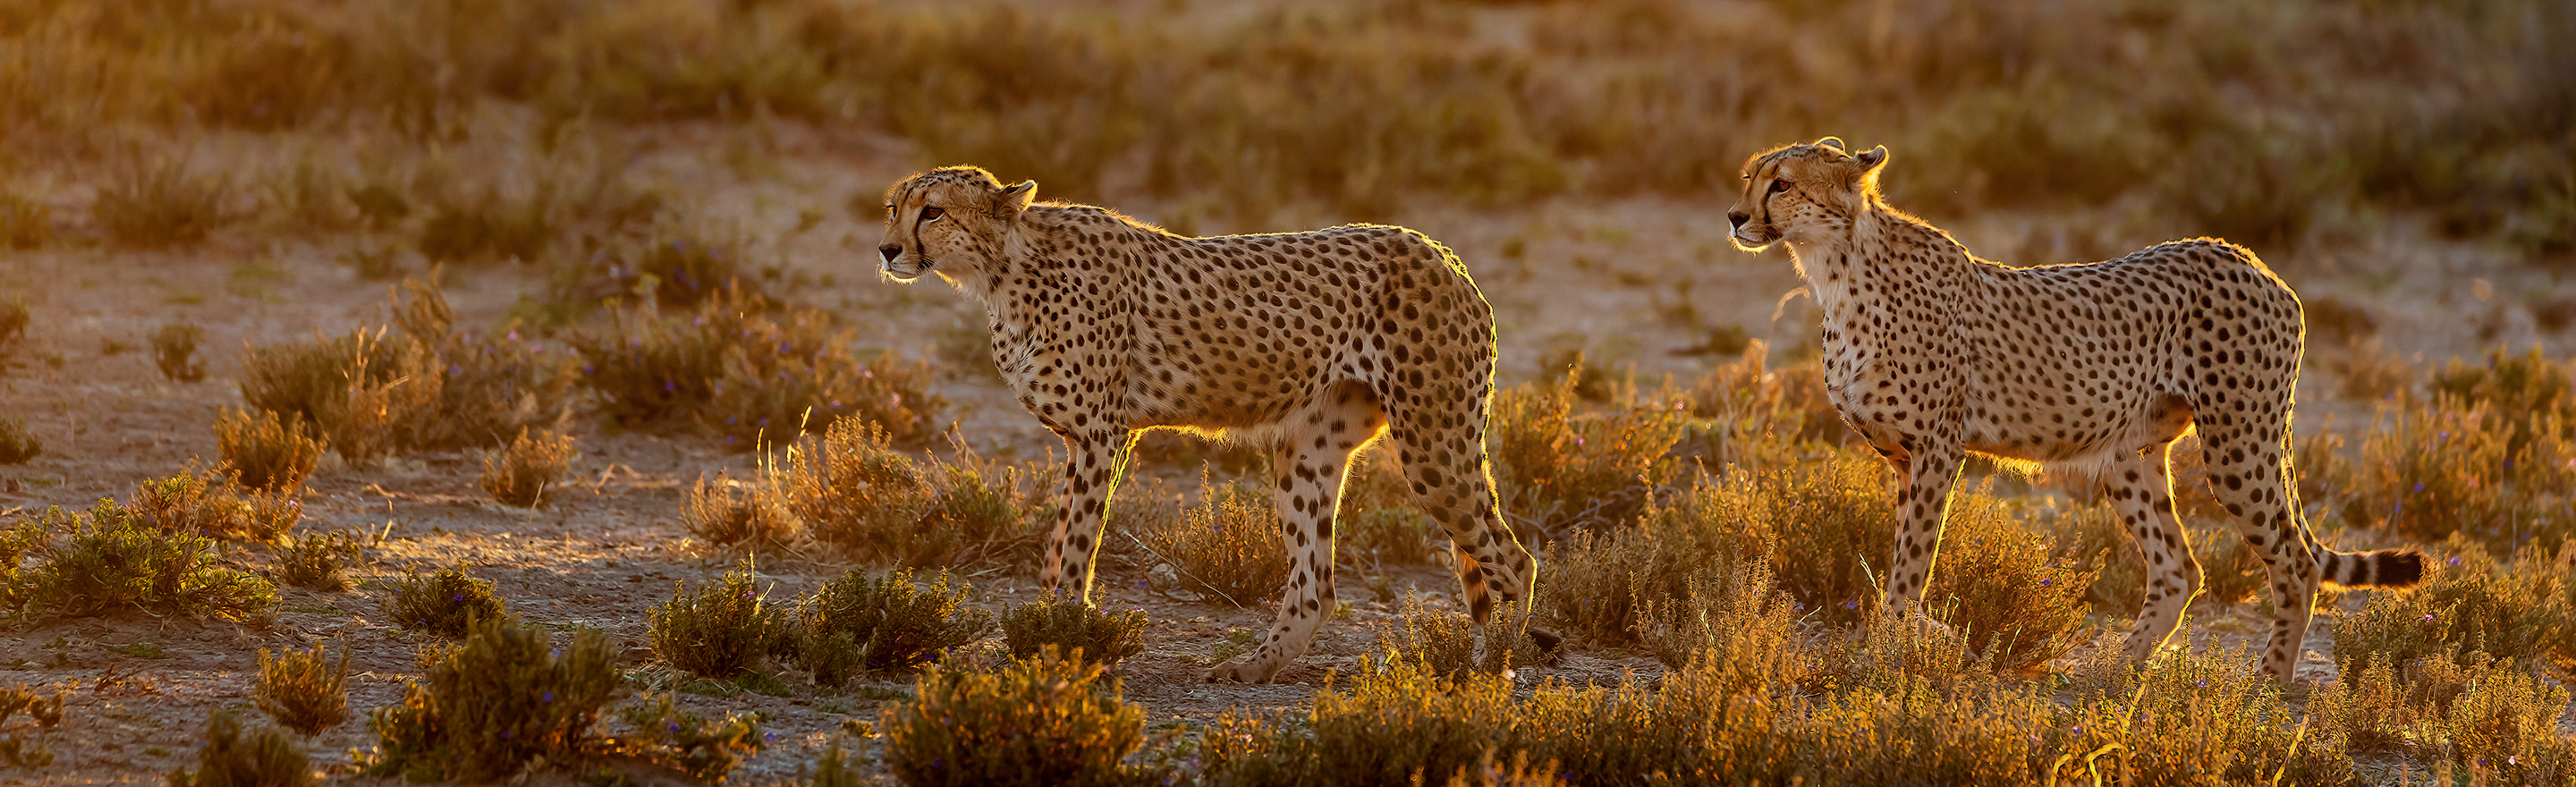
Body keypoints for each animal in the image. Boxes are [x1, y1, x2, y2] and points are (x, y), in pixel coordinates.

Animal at [876, 166, 1546, 683]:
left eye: (932, 211)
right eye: (894, 208)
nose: (886, 250)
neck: (1008, 268)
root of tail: (1438, 249)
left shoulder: (1102, 435)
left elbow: (1077, 547)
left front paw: (1063, 634)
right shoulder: (1081, 441)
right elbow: (1057, 543)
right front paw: (1043, 627)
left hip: (1434, 447)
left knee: (1516, 563)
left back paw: (1493, 668)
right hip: (1307, 451)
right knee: (1317, 586)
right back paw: (1254, 666)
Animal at [1731, 138, 2411, 679]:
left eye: (1783, 183)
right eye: (1750, 176)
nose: (1735, 217)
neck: (1837, 268)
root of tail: (2244, 255)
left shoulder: (1936, 450)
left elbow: (1911, 565)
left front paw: (1889, 650)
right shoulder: (1902, 457)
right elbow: (1906, 560)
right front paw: (1927, 637)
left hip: (2239, 444)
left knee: (2296, 562)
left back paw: (2268, 682)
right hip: (2130, 456)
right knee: (2180, 568)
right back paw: (2116, 668)